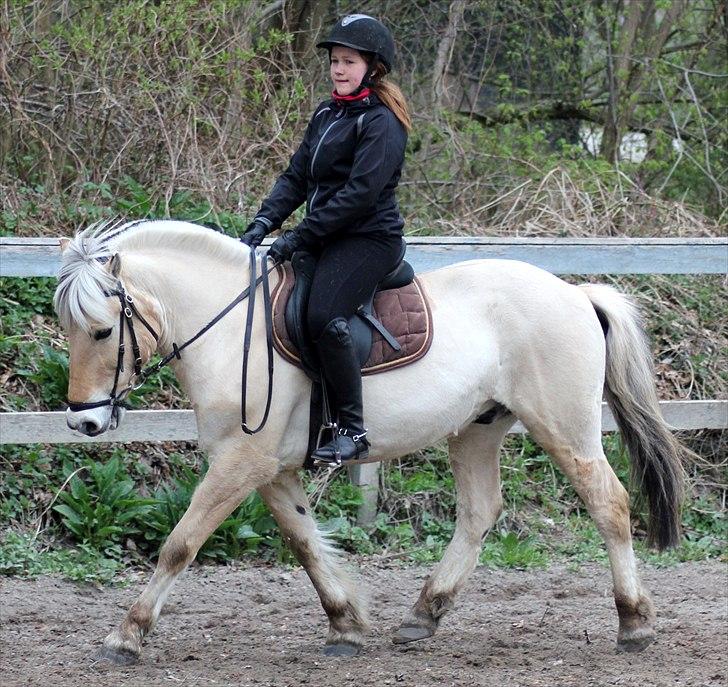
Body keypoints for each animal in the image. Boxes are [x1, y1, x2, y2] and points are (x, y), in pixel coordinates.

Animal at [53, 219, 685, 663]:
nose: (84, 423)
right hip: (477, 430)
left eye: (103, 331)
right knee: (479, 512)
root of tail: (575, 293)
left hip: (565, 428)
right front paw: (346, 625)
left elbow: (179, 545)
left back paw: (634, 623)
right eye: (68, 328)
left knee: (609, 504)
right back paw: (424, 614)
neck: (232, 330)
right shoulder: (269, 468)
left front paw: (126, 636)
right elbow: (306, 543)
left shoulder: (240, 462)